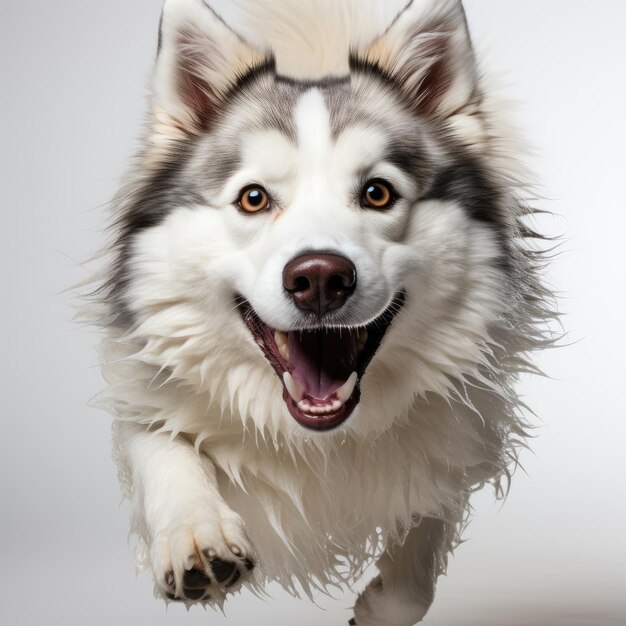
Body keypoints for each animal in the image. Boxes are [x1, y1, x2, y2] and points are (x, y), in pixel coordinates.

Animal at [88, 0, 552, 620]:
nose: (319, 280)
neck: (320, 442)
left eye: (378, 193)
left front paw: (379, 607)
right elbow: (163, 446)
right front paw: (196, 535)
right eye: (253, 198)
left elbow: (419, 556)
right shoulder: (142, 382)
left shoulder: (462, 435)